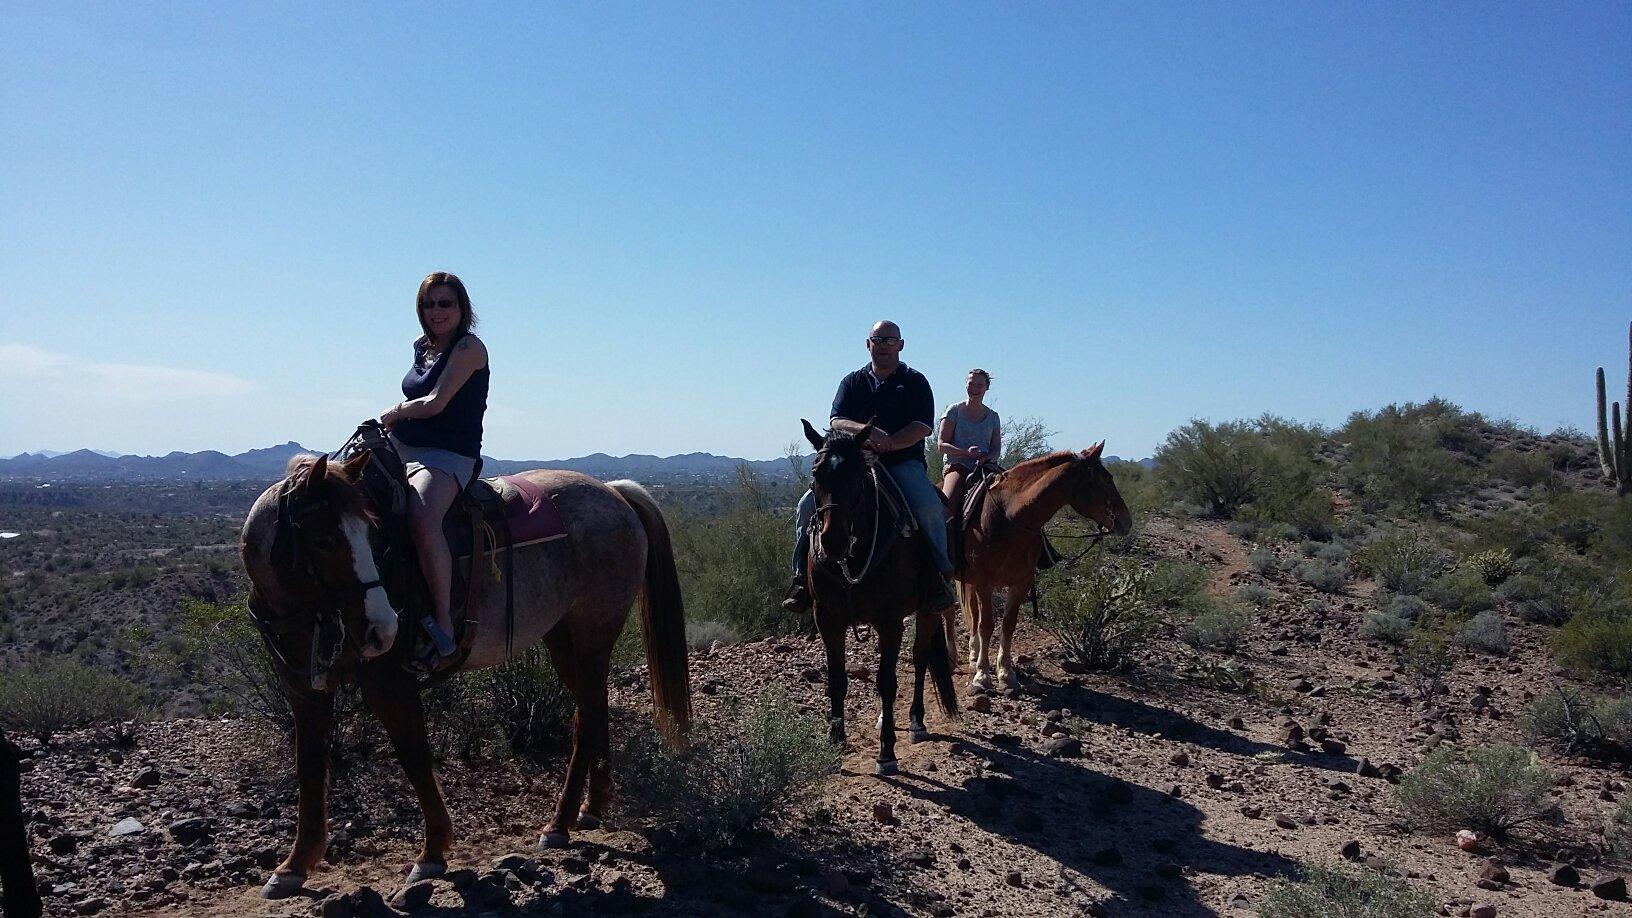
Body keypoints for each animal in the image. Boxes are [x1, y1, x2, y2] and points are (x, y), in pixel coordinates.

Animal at [239, 451, 690, 899]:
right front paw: (294, 866)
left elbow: (414, 757)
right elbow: (310, 766)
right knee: (593, 709)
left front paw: (432, 853)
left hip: (592, 636)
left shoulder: (389, 684)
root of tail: (614, 493)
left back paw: (559, 824)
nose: (383, 629)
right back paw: (592, 807)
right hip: (564, 640)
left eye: (372, 535)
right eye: (323, 541)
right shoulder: (304, 690)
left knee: (585, 718)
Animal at [800, 420, 958, 776]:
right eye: (816, 472)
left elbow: (887, 682)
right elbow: (837, 680)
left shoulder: (890, 620)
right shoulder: (827, 618)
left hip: (927, 610)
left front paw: (886, 753)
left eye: (858, 473)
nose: (832, 540)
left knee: (919, 658)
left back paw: (915, 721)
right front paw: (835, 740)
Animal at [955, 443, 1133, 691]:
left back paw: (973, 654)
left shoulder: (1022, 581)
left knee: (971, 610)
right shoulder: (983, 581)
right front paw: (982, 675)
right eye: (1106, 479)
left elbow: (1008, 624)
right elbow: (987, 624)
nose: (1127, 521)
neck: (1009, 518)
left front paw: (1006, 673)